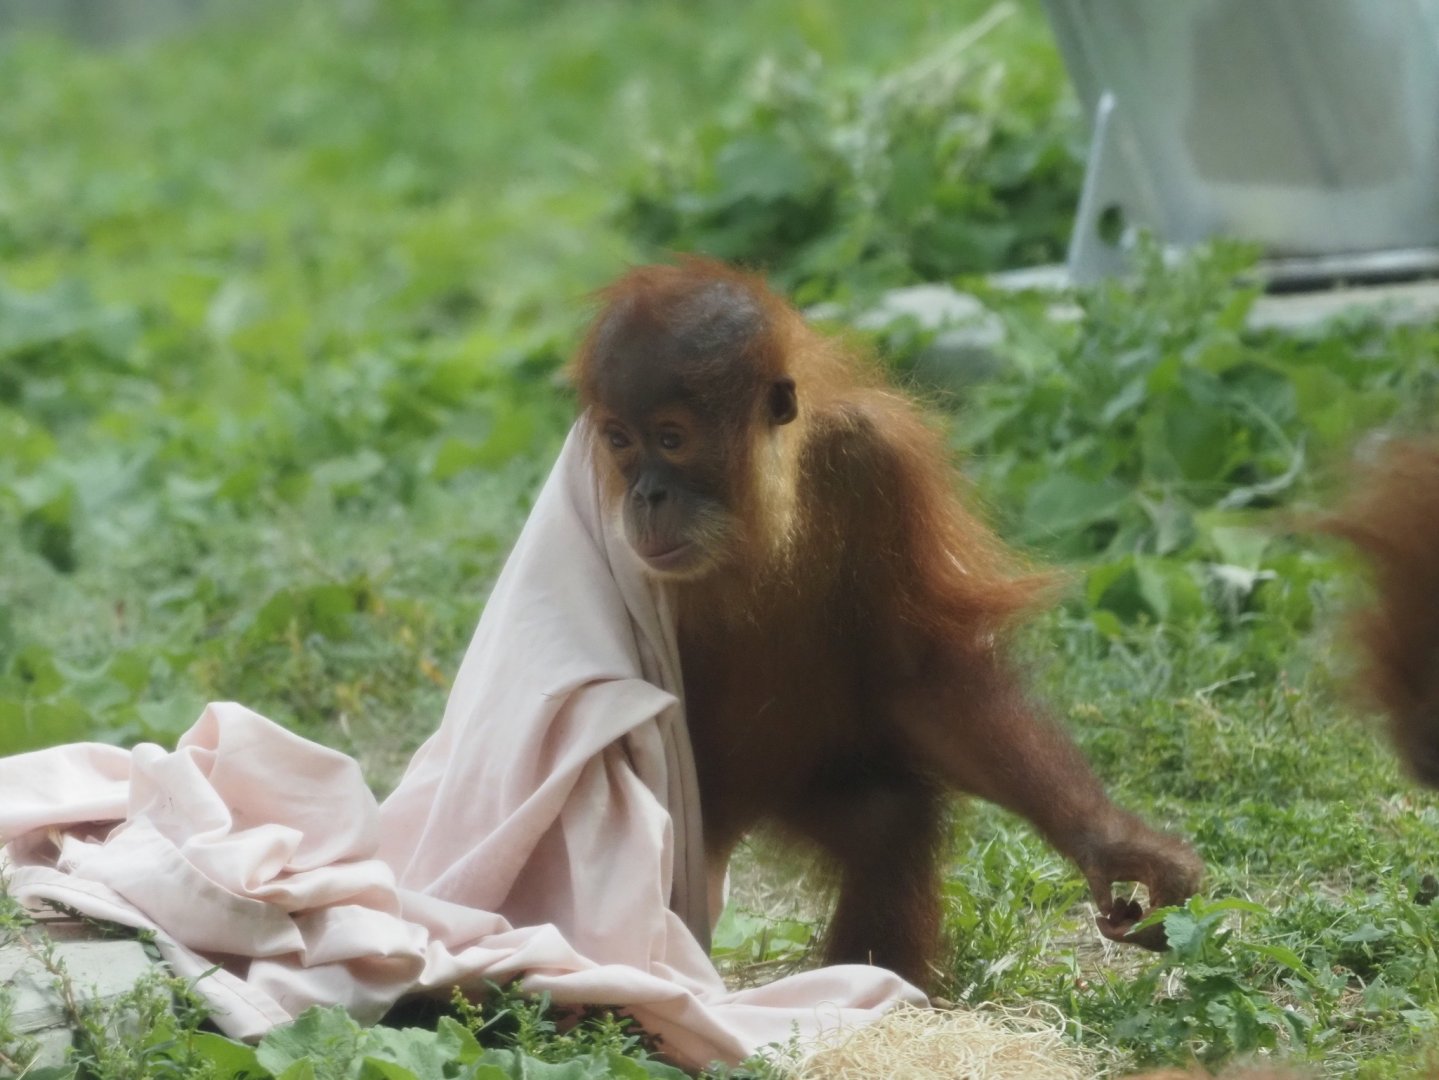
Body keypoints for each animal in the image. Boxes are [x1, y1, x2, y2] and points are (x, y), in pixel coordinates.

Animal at [572, 257, 1203, 986]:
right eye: (619, 440)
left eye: (672, 439)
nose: (646, 495)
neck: (758, 513)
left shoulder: (880, 457)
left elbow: (923, 674)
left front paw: (1112, 845)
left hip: (792, 776)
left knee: (887, 823)